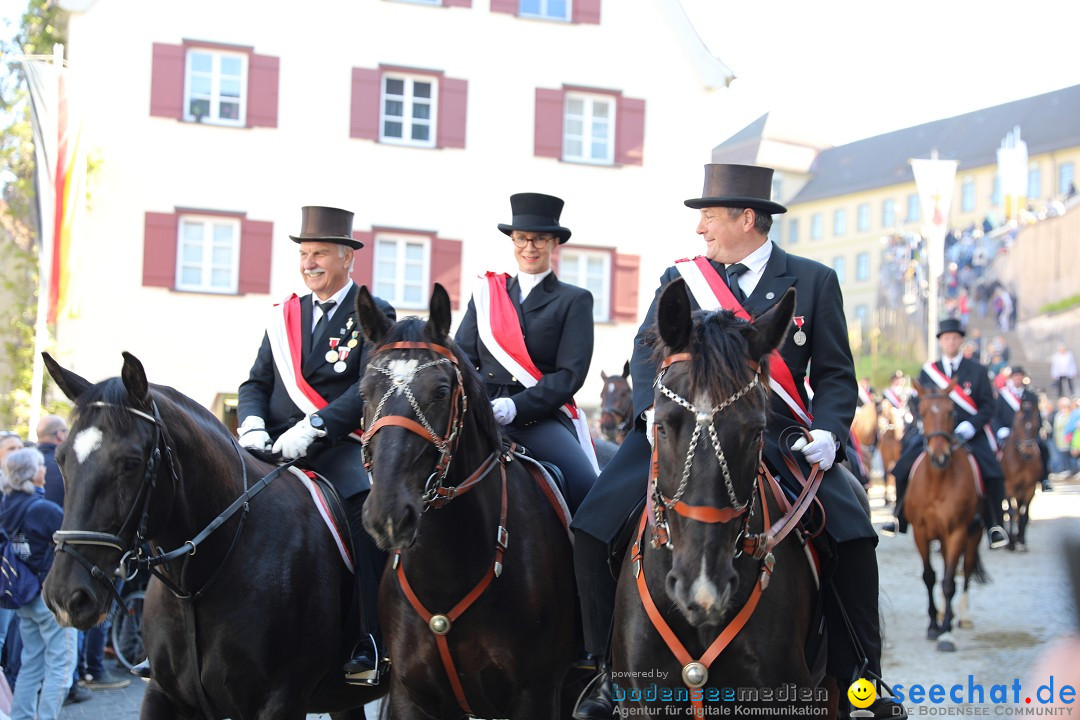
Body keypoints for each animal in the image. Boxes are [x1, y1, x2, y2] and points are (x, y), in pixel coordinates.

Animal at [41, 354, 384, 720]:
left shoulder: (281, 702)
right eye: (60, 458)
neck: (196, 584)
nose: (64, 597)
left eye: (131, 462)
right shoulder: (164, 693)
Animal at [356, 284, 578, 720]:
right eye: (364, 392)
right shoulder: (411, 696)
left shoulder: (536, 694)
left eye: (441, 392)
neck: (447, 572)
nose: (387, 514)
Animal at [902, 382, 989, 651]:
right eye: (922, 412)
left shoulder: (957, 532)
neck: (938, 481)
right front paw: (933, 625)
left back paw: (963, 616)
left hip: (973, 534)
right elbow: (929, 577)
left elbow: (950, 581)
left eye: (952, 412)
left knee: (967, 570)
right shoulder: (920, 532)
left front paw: (946, 634)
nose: (939, 457)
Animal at [997, 399, 1041, 552]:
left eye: (1036, 425)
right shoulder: (1009, 486)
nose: (1028, 453)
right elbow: (1011, 511)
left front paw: (1021, 540)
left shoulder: (1030, 487)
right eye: (1017, 424)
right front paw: (1011, 542)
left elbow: (1024, 512)